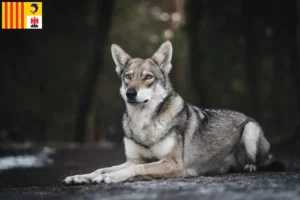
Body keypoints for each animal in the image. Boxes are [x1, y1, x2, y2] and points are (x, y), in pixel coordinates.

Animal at [63, 40, 274, 184]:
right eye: (128, 77)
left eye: (148, 77)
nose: (131, 93)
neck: (144, 124)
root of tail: (244, 115)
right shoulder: (132, 160)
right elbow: (101, 168)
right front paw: (81, 176)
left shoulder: (173, 163)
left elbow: (139, 168)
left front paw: (111, 177)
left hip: (250, 130)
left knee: (260, 161)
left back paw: (250, 166)